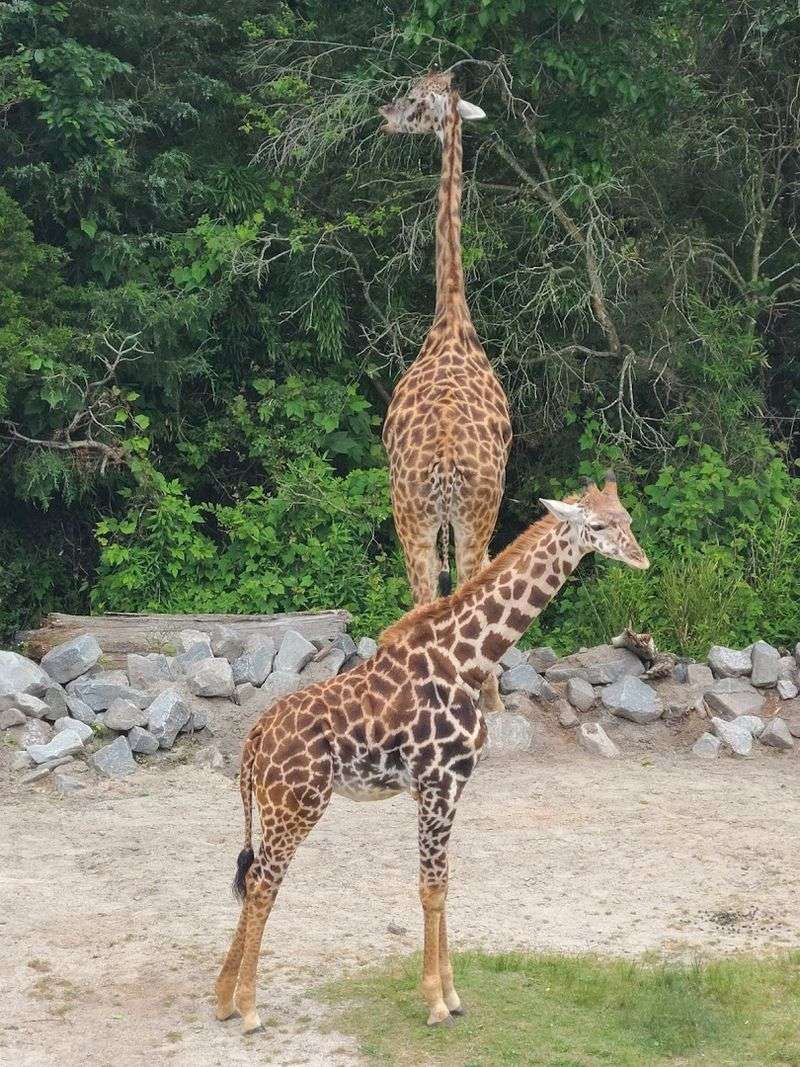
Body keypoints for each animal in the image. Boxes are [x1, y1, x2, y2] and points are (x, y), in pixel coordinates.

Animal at [215, 474, 648, 1033]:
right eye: (596, 525)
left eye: (627, 519)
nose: (640, 558)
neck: (467, 661)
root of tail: (255, 737)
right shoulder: (439, 782)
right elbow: (431, 888)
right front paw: (436, 1002)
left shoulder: (446, 786)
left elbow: (445, 884)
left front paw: (453, 995)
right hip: (297, 804)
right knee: (265, 882)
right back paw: (248, 1007)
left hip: (275, 806)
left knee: (251, 880)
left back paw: (223, 998)